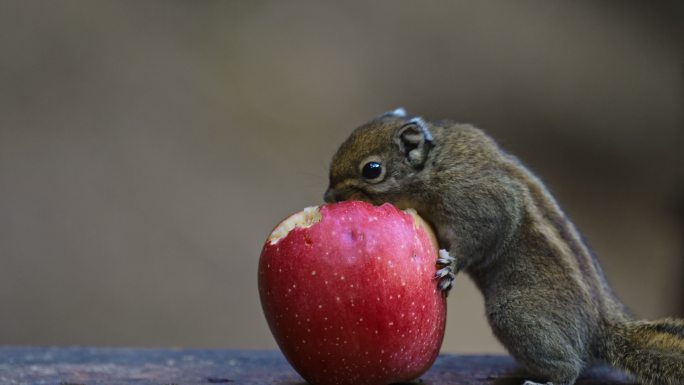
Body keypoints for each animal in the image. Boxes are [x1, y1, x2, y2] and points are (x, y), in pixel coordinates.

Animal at [324, 108, 684, 384]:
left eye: (372, 170)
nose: (328, 198)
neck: (435, 163)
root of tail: (602, 326)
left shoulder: (480, 204)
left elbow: (482, 236)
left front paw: (451, 266)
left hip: (515, 312)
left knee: (569, 370)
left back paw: (544, 380)